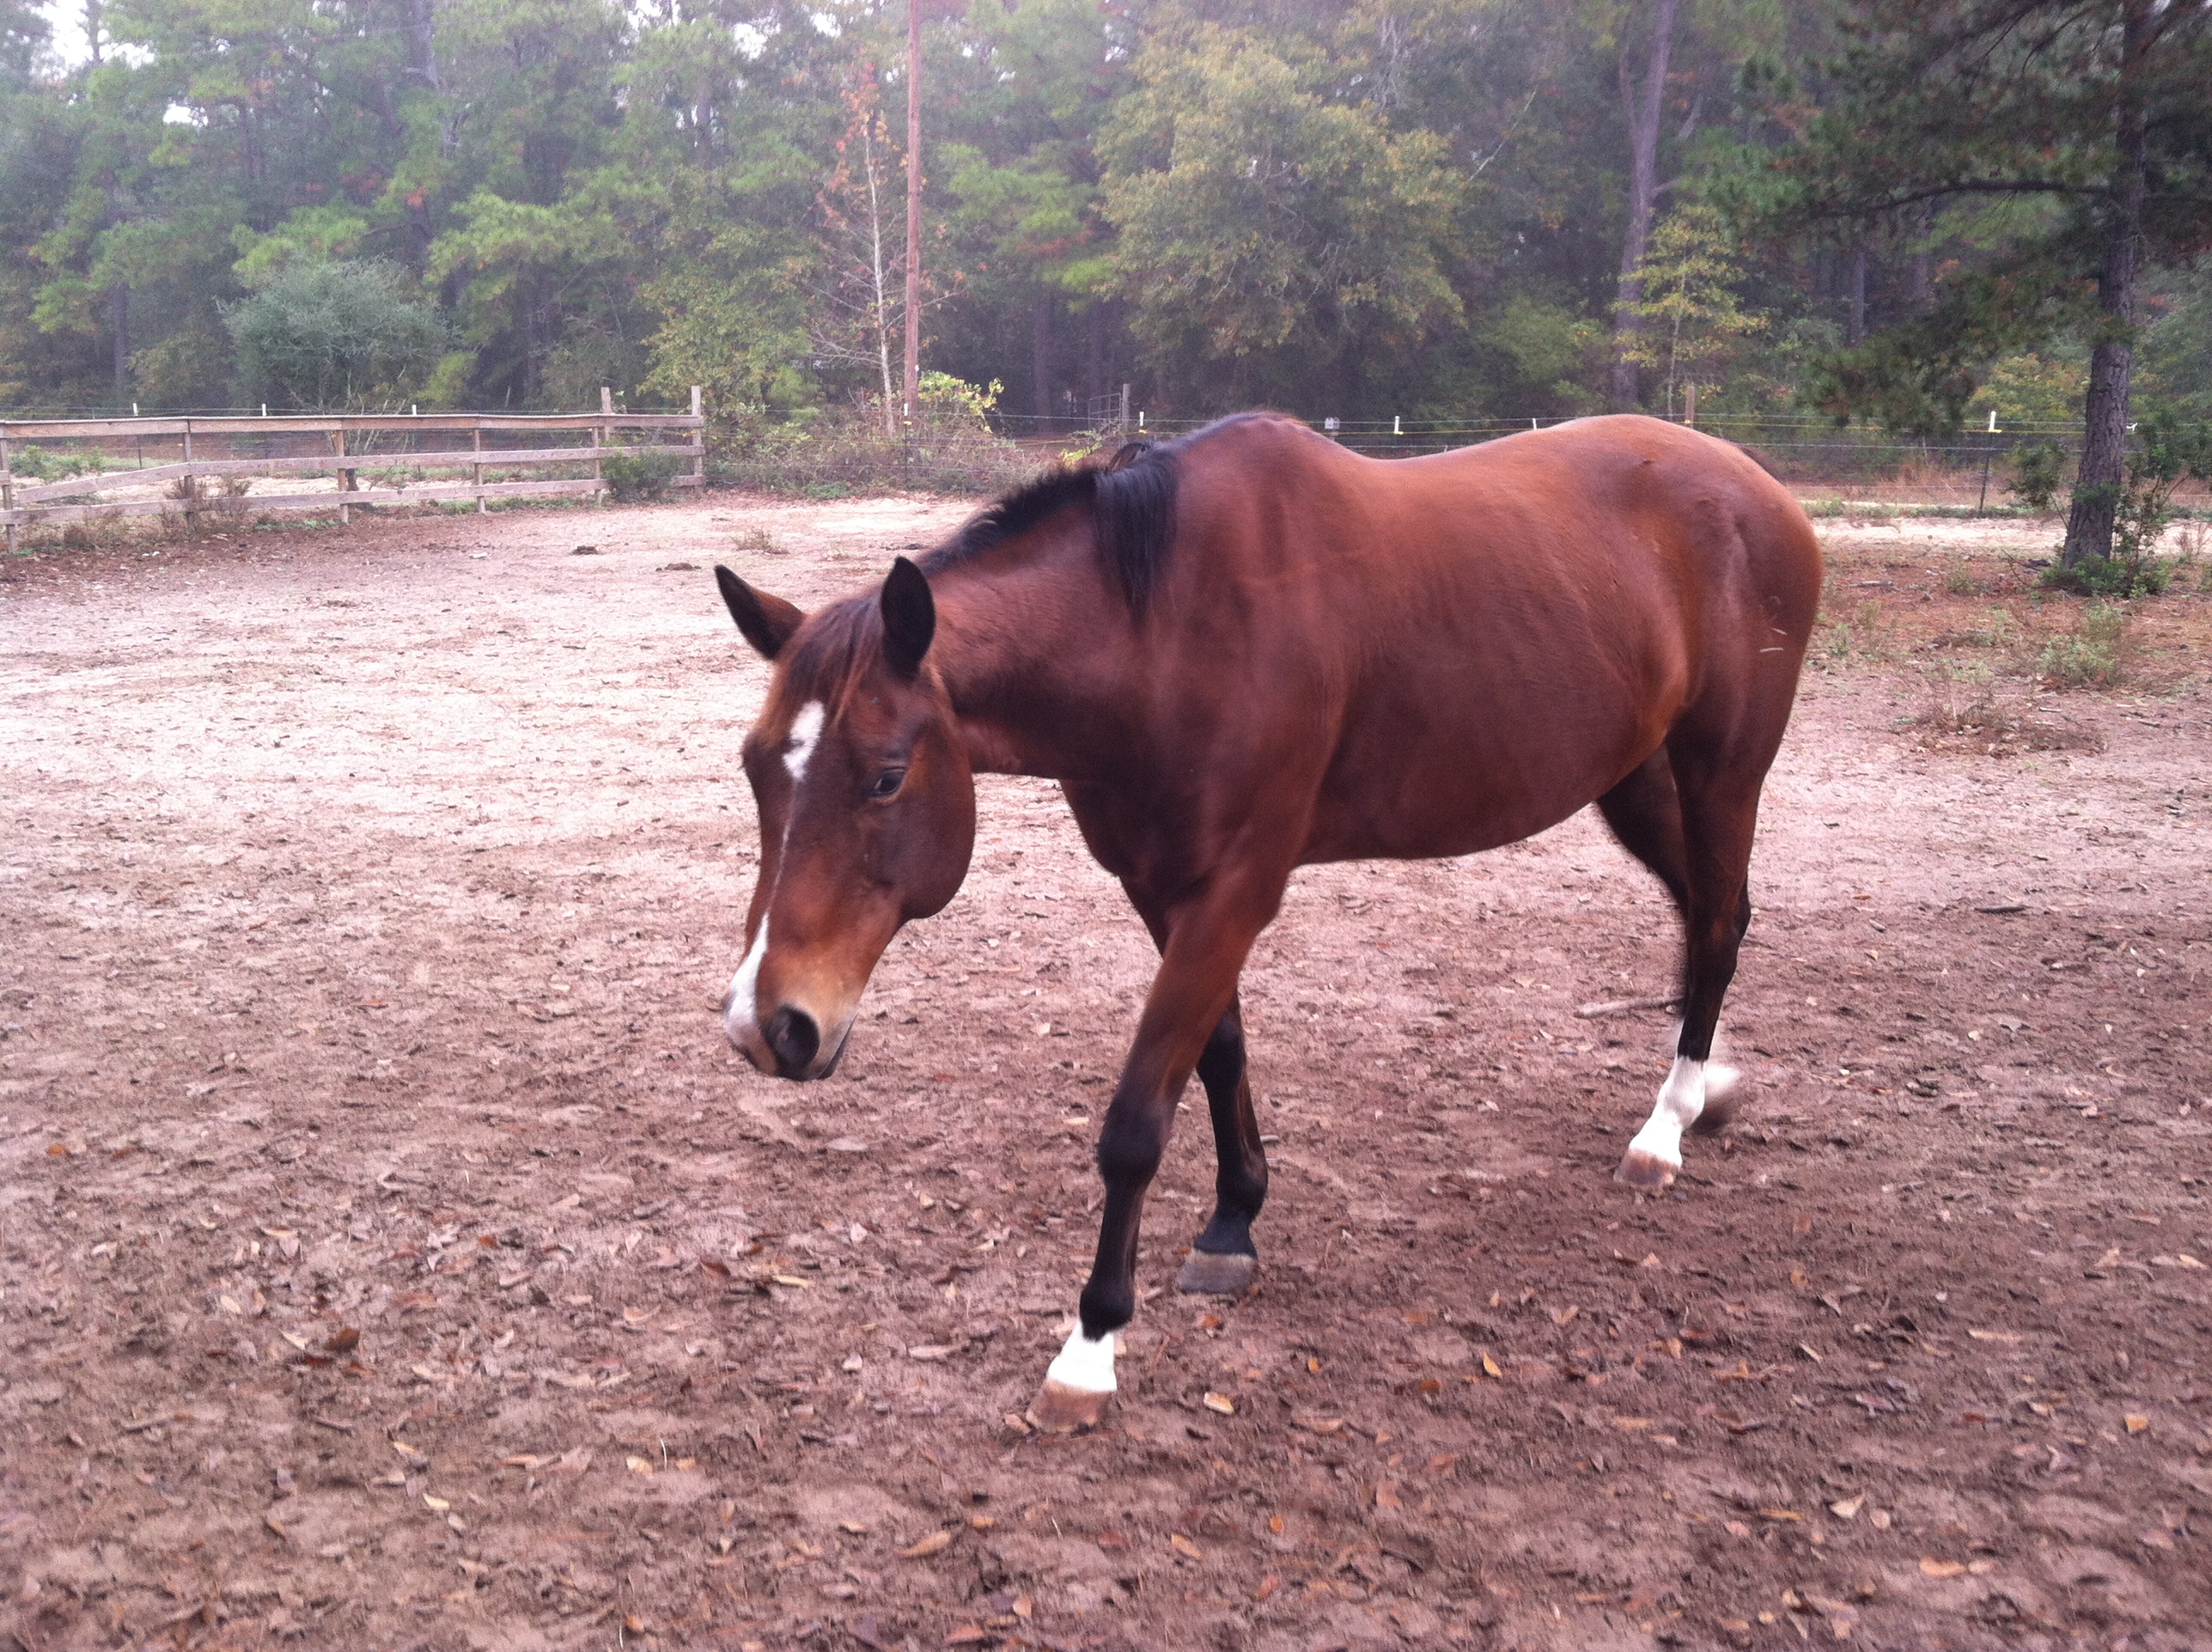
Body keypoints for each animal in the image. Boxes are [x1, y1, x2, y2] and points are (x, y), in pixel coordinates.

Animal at [710, 411, 1821, 1432]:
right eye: (756, 766)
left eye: (886, 776)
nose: (772, 1027)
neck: (1164, 631)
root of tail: (1756, 484)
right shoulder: (1163, 889)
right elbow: (1219, 1053)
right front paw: (1233, 1221)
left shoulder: (1235, 891)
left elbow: (1137, 1119)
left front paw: (1090, 1346)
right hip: (1631, 775)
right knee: (1711, 914)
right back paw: (1706, 1090)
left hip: (1720, 769)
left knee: (1717, 923)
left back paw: (1663, 1129)